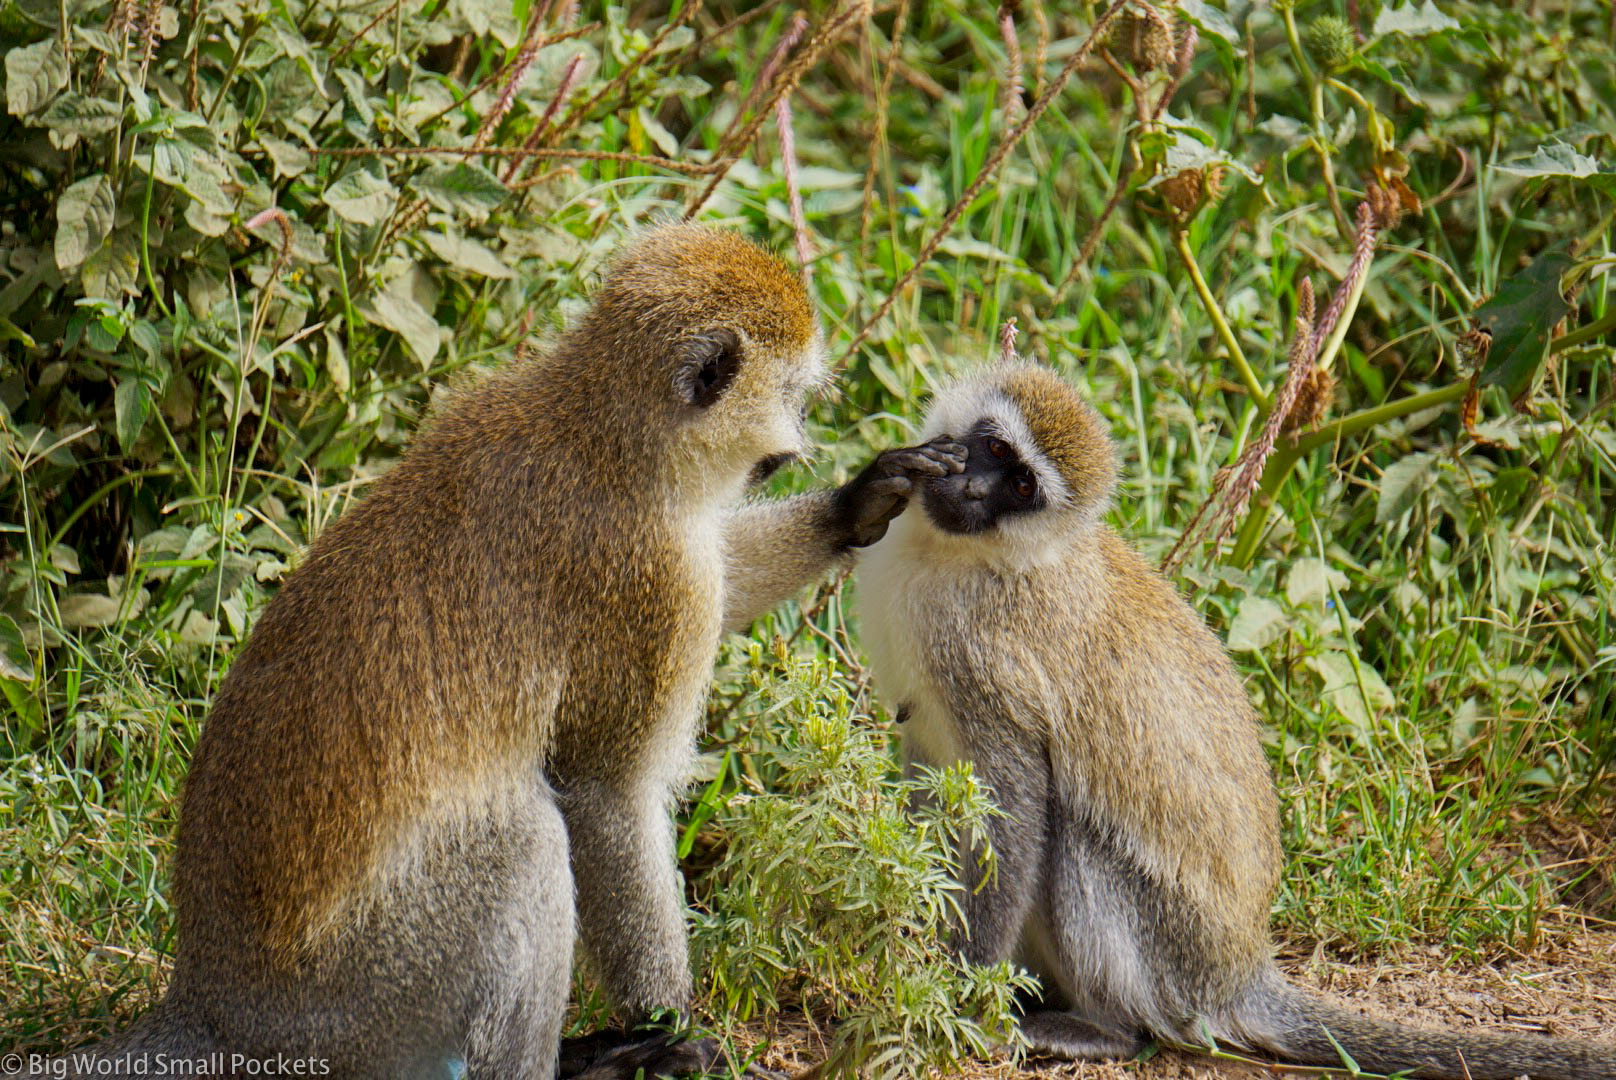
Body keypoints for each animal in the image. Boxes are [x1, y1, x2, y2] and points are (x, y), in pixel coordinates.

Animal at [11, 224, 964, 1080]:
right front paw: (668, 1029)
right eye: (796, 395)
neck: (603, 427)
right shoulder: (653, 583)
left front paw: (856, 503)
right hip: (370, 995)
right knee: (525, 841)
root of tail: (214, 1005)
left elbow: (729, 568)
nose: (800, 443)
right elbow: (607, 796)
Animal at [853, 358, 1616, 1080]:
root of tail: (1239, 973)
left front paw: (955, 993)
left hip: (1171, 954)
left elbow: (1010, 808)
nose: (972, 491)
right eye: (989, 447)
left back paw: (1104, 1029)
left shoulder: (987, 666)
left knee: (1070, 835)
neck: (963, 556)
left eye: (1019, 487)